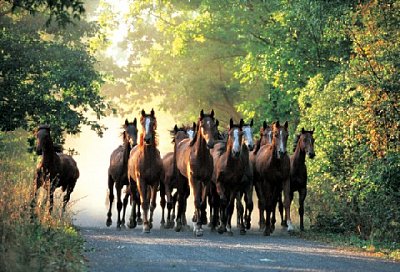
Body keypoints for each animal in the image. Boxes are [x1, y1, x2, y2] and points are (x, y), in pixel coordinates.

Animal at [176, 109, 219, 237]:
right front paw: (198, 227)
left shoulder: (206, 180)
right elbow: (196, 201)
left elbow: (202, 201)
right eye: (202, 125)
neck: (200, 156)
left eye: (214, 125)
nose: (210, 143)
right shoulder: (193, 179)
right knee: (182, 197)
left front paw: (200, 223)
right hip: (183, 179)